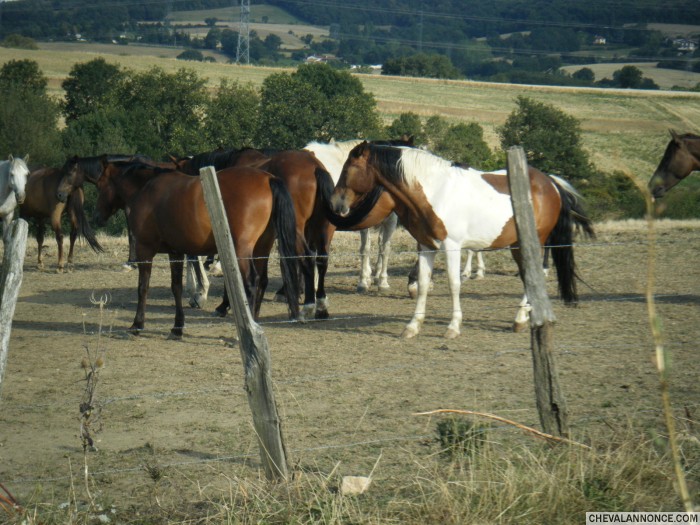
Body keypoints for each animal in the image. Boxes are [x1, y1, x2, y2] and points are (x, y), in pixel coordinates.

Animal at [91, 160, 300, 336]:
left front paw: (137, 324)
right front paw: (177, 326)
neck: (148, 189)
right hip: (262, 248)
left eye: (100, 185)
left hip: (242, 250)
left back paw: (248, 327)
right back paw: (255, 325)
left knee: (251, 282)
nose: (96, 217)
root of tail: (268, 178)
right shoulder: (175, 252)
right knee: (262, 281)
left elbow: (143, 287)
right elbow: (176, 288)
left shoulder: (145, 250)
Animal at [326, 142, 592, 340]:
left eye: (348, 168)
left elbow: (454, 284)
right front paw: (412, 326)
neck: (435, 191)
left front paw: (453, 327)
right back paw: (522, 318)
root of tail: (550, 183)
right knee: (529, 277)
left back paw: (521, 317)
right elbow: (424, 283)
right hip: (518, 245)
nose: (336, 202)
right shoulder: (426, 247)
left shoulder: (452, 246)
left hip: (532, 243)